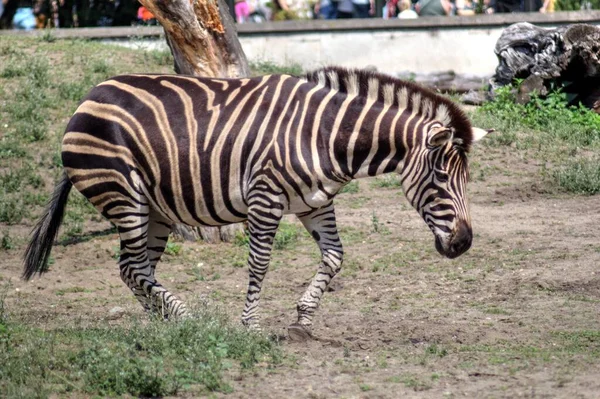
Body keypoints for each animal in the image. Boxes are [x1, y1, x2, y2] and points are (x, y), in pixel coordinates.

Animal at [23, 66, 490, 338]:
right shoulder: (265, 197)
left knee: (133, 268)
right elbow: (260, 263)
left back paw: (164, 322)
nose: (463, 244)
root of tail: (89, 97)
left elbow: (335, 257)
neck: (325, 135)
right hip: (124, 194)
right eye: (442, 177)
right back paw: (187, 319)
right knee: (135, 267)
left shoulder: (315, 202)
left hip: (153, 209)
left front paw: (302, 321)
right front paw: (250, 325)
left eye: (466, 180)